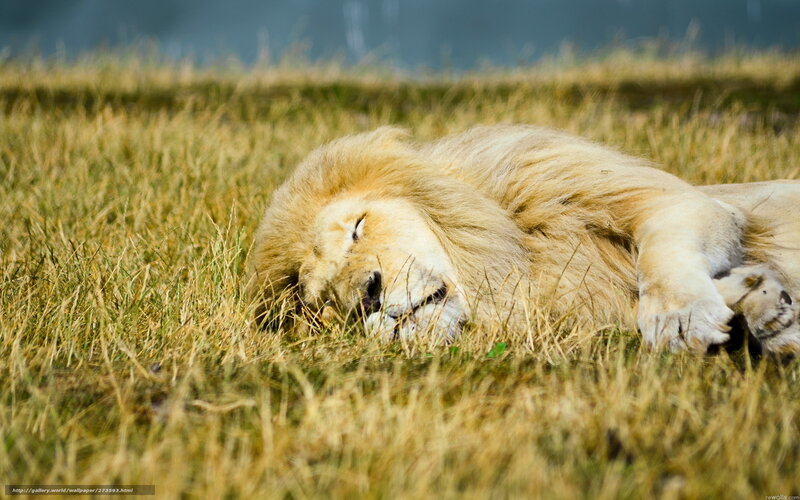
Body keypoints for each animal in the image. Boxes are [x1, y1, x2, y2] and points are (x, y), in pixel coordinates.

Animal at [246, 125, 800, 353]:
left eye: (358, 227)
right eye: (327, 300)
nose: (370, 296)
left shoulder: (674, 203)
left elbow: (660, 257)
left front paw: (682, 318)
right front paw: (762, 304)